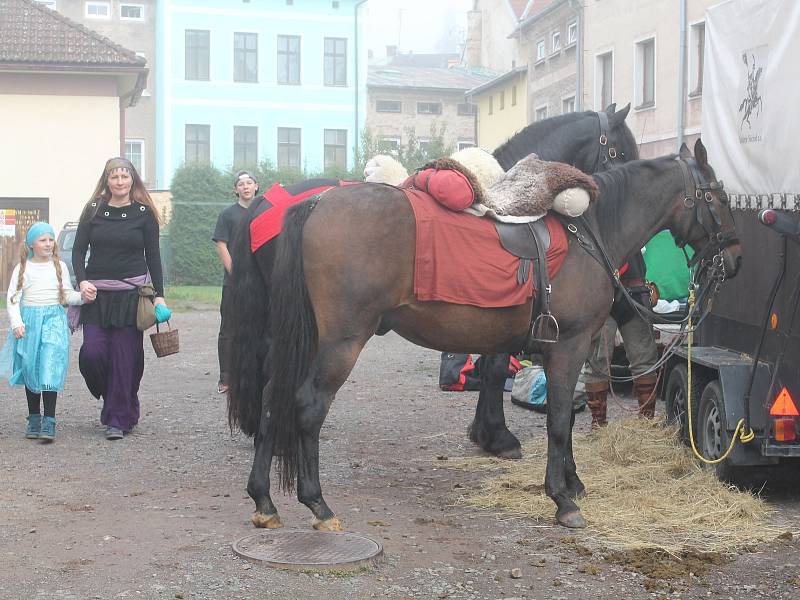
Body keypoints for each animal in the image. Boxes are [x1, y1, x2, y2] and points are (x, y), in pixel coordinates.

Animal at [247, 139, 740, 528]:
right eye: (717, 196)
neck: (591, 231)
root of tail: (319, 203)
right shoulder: (569, 347)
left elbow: (568, 417)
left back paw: (264, 500)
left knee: (272, 397)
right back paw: (317, 504)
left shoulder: (571, 351)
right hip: (341, 342)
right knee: (308, 405)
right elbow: (558, 422)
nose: (734, 259)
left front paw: (573, 482)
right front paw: (561, 499)